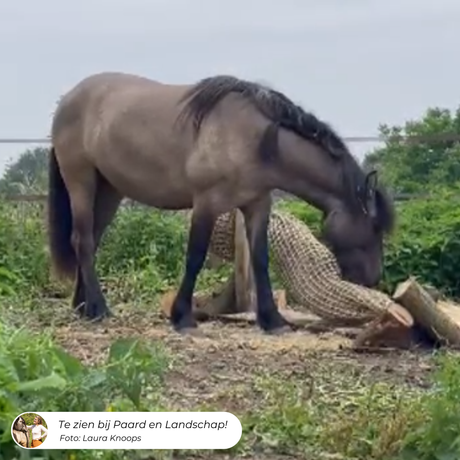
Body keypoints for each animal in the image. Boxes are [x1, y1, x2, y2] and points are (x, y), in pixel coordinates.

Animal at [48, 71, 396, 334]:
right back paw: (98, 309)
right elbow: (195, 257)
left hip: (109, 190)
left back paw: (83, 306)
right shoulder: (206, 205)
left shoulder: (257, 206)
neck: (257, 140)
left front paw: (272, 320)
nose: (373, 278)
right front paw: (182, 317)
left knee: (90, 241)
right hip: (81, 181)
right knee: (82, 240)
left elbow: (260, 260)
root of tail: (68, 99)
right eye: (374, 227)